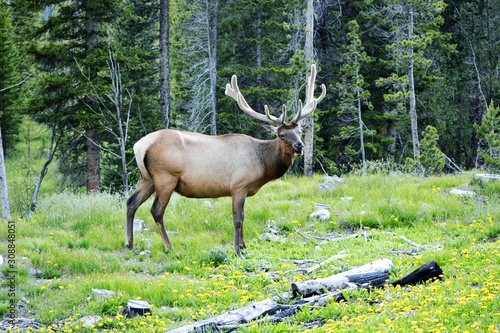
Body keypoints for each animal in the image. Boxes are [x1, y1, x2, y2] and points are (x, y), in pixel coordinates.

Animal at [127, 64, 326, 256]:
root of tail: (139, 146)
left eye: (300, 131)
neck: (263, 164)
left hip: (147, 178)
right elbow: (237, 218)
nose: (299, 146)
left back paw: (130, 244)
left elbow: (243, 216)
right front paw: (238, 251)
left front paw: (244, 246)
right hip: (165, 178)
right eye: (282, 135)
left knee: (131, 202)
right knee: (156, 211)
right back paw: (170, 248)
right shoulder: (239, 185)